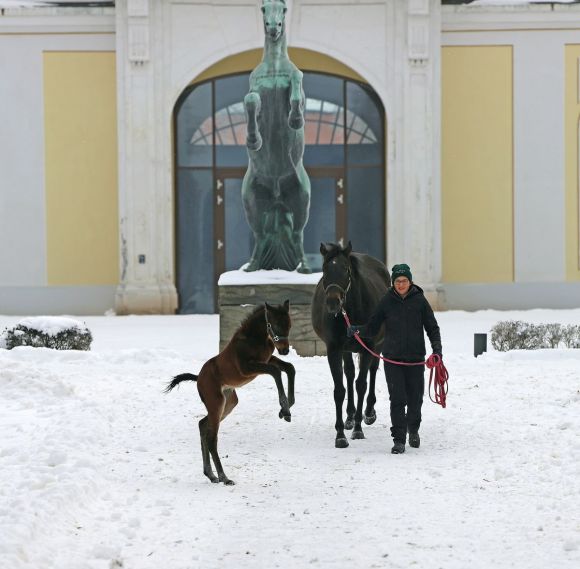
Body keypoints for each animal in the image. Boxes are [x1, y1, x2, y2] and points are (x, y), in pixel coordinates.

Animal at [312, 242, 390, 446]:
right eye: (324, 269)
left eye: (346, 269)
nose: (333, 302)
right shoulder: (334, 349)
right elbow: (340, 390)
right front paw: (340, 435)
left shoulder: (369, 346)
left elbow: (361, 384)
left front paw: (358, 429)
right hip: (346, 349)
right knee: (349, 373)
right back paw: (350, 416)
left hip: (377, 344)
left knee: (372, 371)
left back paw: (368, 413)